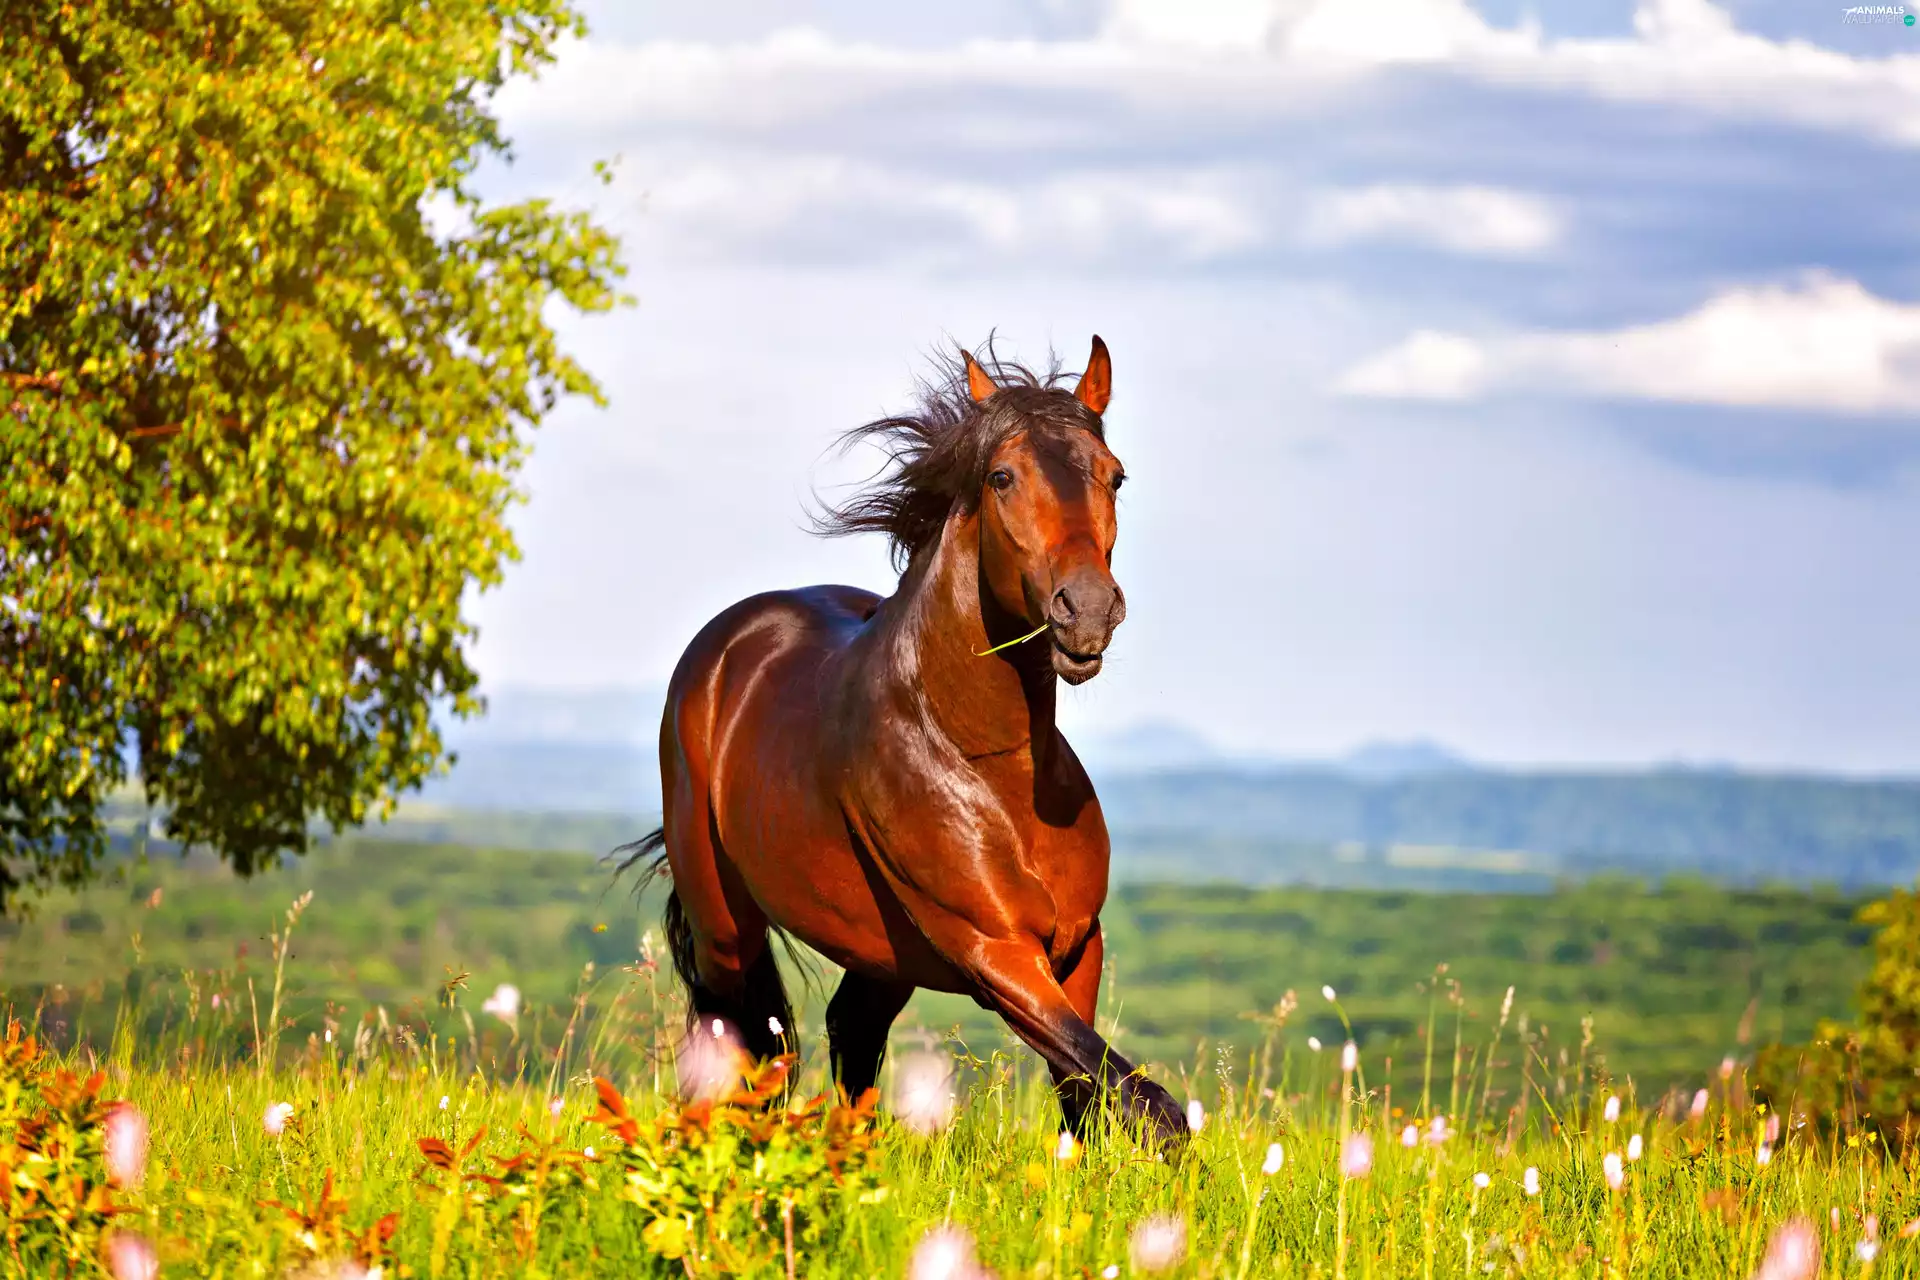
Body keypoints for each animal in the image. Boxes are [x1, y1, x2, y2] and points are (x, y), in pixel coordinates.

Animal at [619, 336, 1186, 1147]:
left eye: (1114, 475)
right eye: (1002, 476)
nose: (1087, 611)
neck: (989, 765)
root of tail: (721, 648)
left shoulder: (1077, 947)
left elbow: (1088, 1090)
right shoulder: (995, 952)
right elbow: (1146, 1100)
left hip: (881, 953)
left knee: (848, 1032)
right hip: (725, 925)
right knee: (738, 1042)